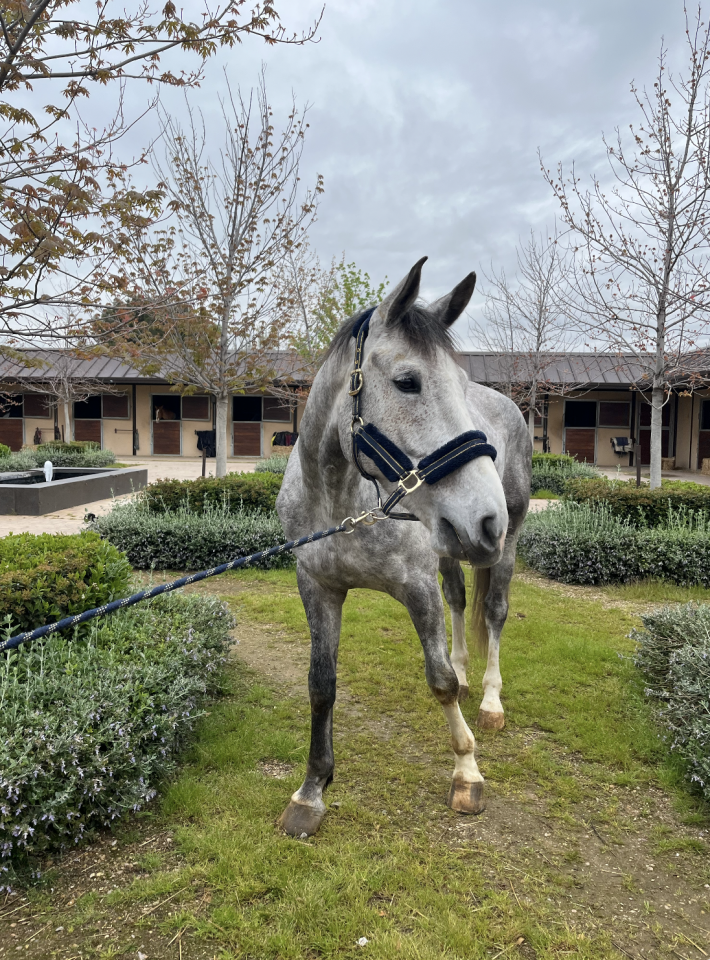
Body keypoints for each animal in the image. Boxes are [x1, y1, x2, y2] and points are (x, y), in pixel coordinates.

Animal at [276, 258, 531, 837]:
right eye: (407, 382)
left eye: (460, 384)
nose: (487, 518)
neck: (340, 503)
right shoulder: (317, 587)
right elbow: (321, 683)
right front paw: (311, 790)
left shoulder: (417, 588)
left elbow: (438, 682)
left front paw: (467, 773)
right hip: (453, 547)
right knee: (460, 601)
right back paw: (469, 675)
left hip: (501, 548)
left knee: (495, 612)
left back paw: (489, 699)